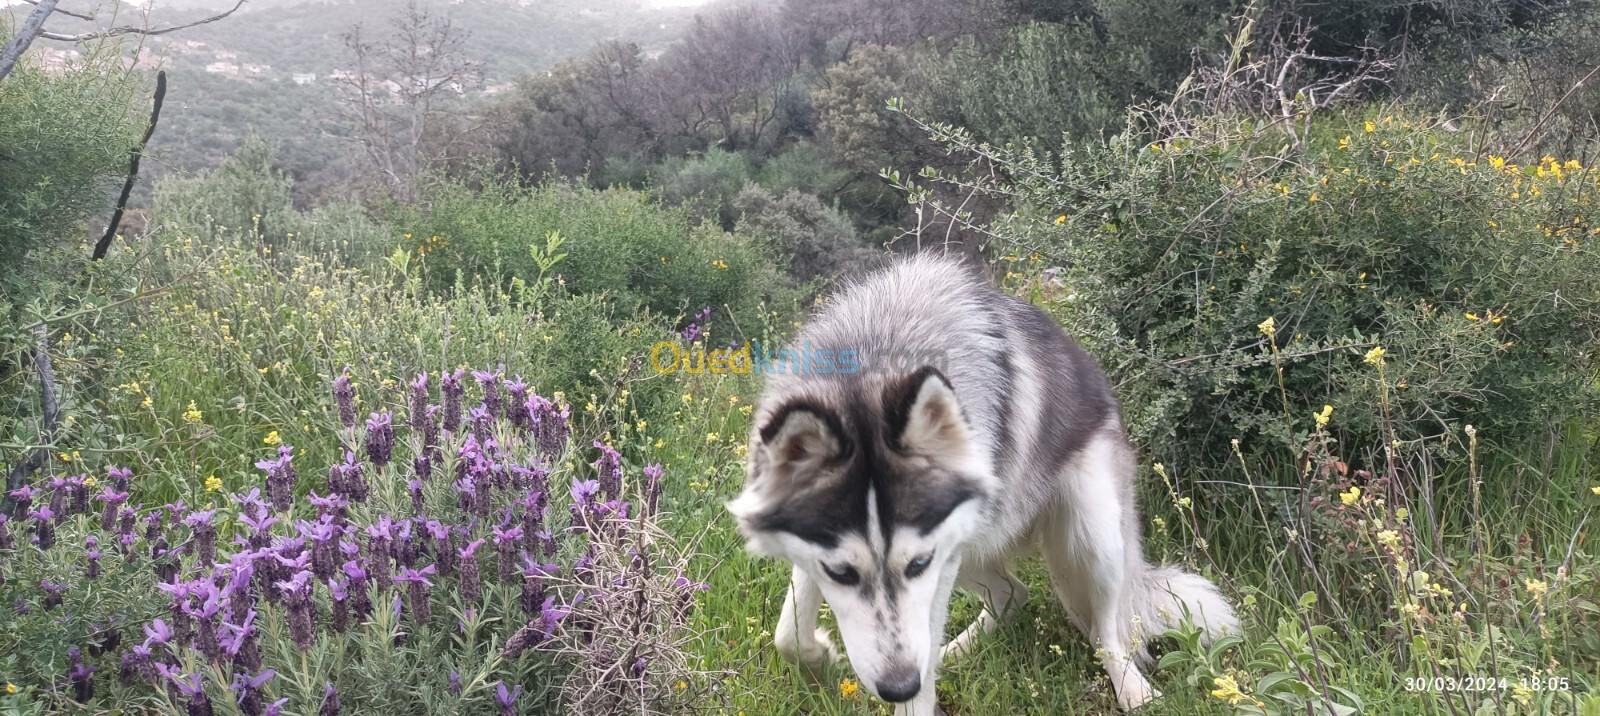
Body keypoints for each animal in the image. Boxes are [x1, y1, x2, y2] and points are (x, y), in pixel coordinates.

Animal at [726, 254, 1235, 712]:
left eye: (918, 563)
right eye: (841, 573)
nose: (898, 686)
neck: (877, 358)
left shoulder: (939, 561)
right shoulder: (813, 554)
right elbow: (787, 633)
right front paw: (820, 657)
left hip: (1091, 536)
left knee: (1107, 632)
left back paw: (1134, 691)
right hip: (975, 545)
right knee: (1013, 596)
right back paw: (952, 655)